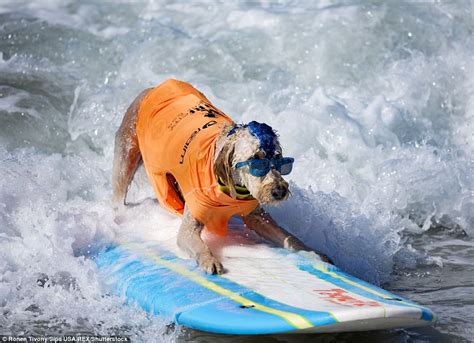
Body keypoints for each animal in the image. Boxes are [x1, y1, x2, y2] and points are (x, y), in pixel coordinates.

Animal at [113, 79, 332, 276]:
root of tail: (150, 88)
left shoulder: (256, 216)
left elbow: (289, 237)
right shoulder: (190, 223)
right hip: (126, 153)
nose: (279, 191)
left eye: (279, 159)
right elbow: (196, 243)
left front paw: (314, 253)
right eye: (255, 160)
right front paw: (209, 260)